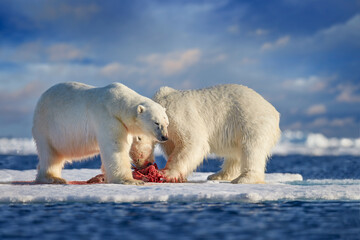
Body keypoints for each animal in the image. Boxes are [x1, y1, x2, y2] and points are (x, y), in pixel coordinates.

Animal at [31, 81, 169, 185]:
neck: (117, 104)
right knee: (50, 153)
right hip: (47, 125)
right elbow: (115, 147)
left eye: (167, 123)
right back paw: (53, 178)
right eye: (156, 123)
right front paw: (131, 180)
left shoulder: (124, 125)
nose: (165, 137)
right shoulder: (107, 117)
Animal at [129, 84, 282, 184]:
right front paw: (180, 176)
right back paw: (218, 175)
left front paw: (166, 173)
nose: (139, 162)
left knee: (251, 149)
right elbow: (173, 146)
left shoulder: (180, 115)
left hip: (251, 121)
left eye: (139, 138)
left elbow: (194, 142)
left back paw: (244, 178)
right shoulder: (169, 136)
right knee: (235, 154)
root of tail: (274, 111)